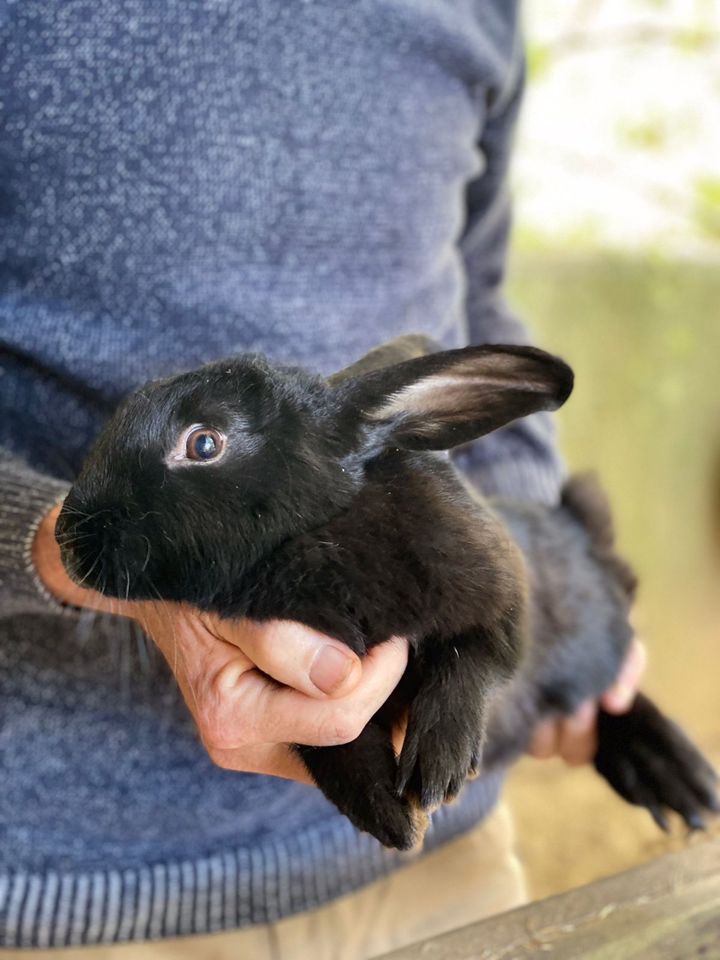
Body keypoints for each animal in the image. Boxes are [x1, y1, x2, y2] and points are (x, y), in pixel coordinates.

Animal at [57, 336, 720, 848]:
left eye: (203, 443)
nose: (66, 537)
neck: (319, 533)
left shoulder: (498, 594)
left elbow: (475, 658)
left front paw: (437, 766)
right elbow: (332, 744)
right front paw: (390, 819)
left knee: (616, 700)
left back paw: (676, 775)